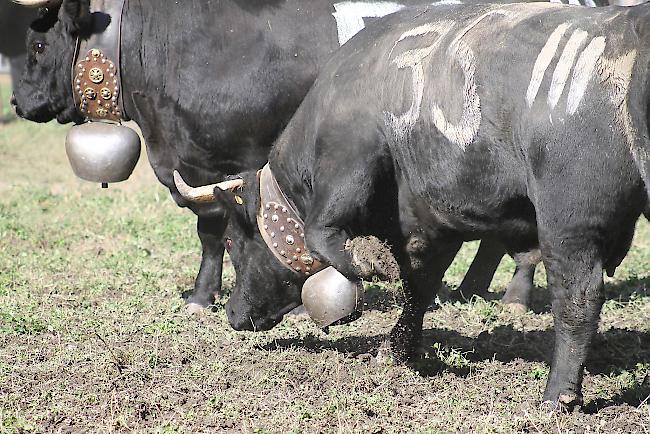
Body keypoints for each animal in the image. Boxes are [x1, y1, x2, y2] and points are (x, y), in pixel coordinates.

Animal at [177, 1, 648, 408]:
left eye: (233, 242)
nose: (233, 314)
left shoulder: (351, 159)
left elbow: (320, 233)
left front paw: (370, 261)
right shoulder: (434, 219)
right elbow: (419, 286)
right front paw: (396, 351)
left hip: (569, 224)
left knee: (577, 300)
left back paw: (558, 396)